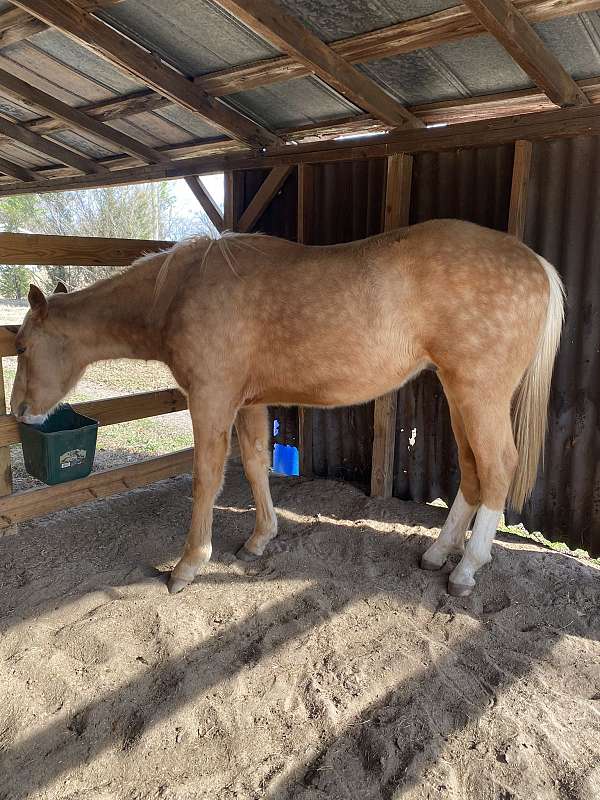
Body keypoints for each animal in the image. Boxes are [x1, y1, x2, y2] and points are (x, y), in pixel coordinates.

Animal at [8, 219, 564, 592]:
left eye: (23, 346)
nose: (18, 413)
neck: (180, 290)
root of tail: (535, 264)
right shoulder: (250, 402)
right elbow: (256, 464)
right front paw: (260, 538)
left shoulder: (211, 400)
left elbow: (207, 477)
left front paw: (189, 564)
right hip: (458, 392)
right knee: (472, 471)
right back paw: (439, 552)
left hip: (479, 392)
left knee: (497, 467)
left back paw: (467, 567)